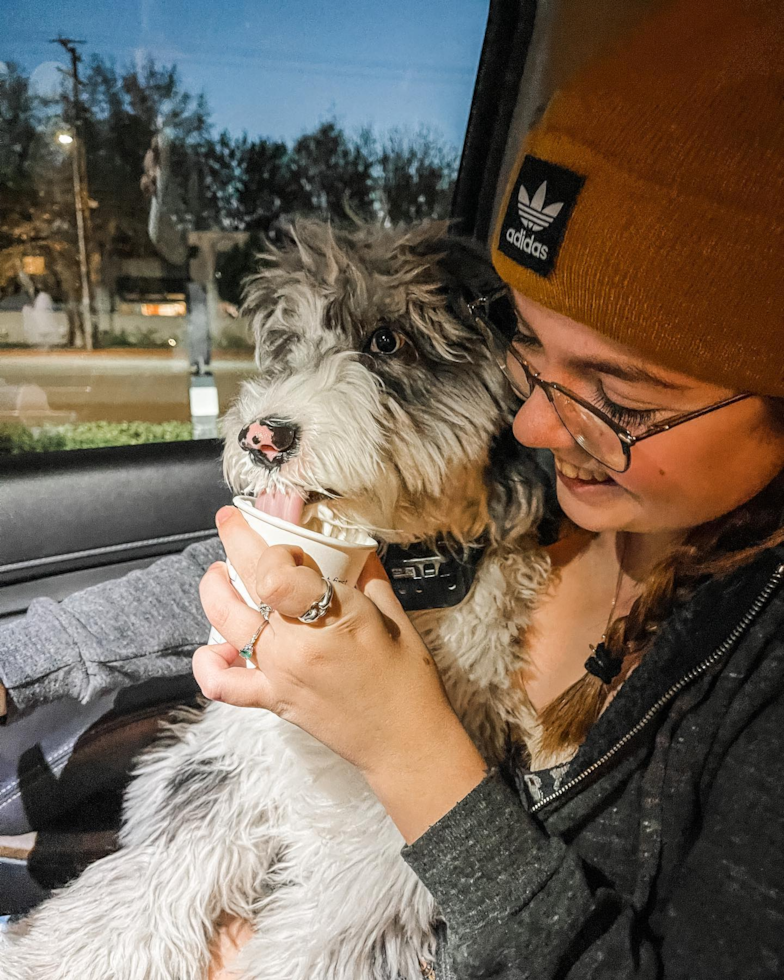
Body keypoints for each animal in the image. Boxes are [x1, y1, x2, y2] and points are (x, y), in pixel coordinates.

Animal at [0, 222, 556, 980]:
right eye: (287, 343)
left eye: (387, 340)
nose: (261, 436)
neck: (407, 574)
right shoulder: (229, 767)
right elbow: (147, 884)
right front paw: (51, 955)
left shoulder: (381, 860)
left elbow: (320, 942)